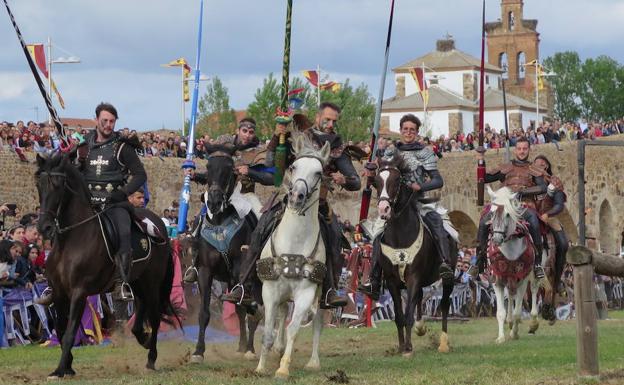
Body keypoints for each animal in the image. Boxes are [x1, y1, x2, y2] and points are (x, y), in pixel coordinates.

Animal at [35, 152, 174, 376]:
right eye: (39, 185)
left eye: (57, 185)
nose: (44, 227)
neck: (71, 240)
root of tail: (159, 224)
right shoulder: (58, 292)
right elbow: (61, 329)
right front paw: (67, 367)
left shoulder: (79, 292)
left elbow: (70, 331)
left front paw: (61, 368)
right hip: (137, 281)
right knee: (141, 307)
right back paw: (142, 338)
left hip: (152, 282)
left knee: (154, 316)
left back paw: (151, 358)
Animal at [188, 145, 260, 364]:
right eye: (208, 166)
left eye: (229, 168)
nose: (213, 201)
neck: (220, 221)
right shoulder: (205, 271)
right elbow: (204, 313)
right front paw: (198, 352)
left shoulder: (239, 271)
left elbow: (249, 309)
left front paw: (250, 349)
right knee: (240, 310)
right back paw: (241, 346)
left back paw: (251, 348)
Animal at [255, 134, 332, 378]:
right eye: (293, 166)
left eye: (319, 172)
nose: (297, 196)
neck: (295, 242)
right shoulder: (270, 291)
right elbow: (268, 330)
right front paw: (261, 367)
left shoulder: (306, 293)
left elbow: (294, 329)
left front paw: (283, 368)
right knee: (280, 315)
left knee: (317, 323)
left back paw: (313, 362)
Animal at [370, 154, 458, 356]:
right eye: (376, 182)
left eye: (396, 180)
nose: (384, 209)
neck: (400, 234)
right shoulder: (393, 281)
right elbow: (399, 316)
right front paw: (402, 346)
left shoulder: (413, 278)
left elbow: (408, 313)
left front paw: (408, 349)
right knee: (420, 299)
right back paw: (421, 327)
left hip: (448, 277)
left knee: (444, 304)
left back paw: (443, 343)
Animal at [486, 185, 540, 342]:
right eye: (492, 213)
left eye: (508, 214)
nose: (497, 239)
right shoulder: (497, 280)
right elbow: (500, 312)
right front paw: (501, 337)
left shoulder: (522, 278)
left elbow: (518, 311)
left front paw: (514, 333)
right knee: (510, 295)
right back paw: (509, 322)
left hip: (532, 274)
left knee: (534, 289)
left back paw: (533, 322)